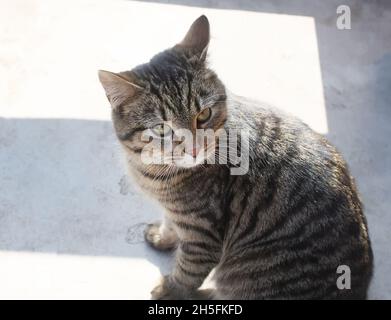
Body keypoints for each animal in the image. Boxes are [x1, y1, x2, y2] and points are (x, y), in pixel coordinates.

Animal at [98, 15, 374, 300]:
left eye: (204, 114)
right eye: (162, 129)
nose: (195, 149)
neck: (153, 171)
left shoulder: (202, 235)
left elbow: (186, 274)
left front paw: (168, 290)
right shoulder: (176, 215)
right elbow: (169, 225)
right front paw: (162, 236)